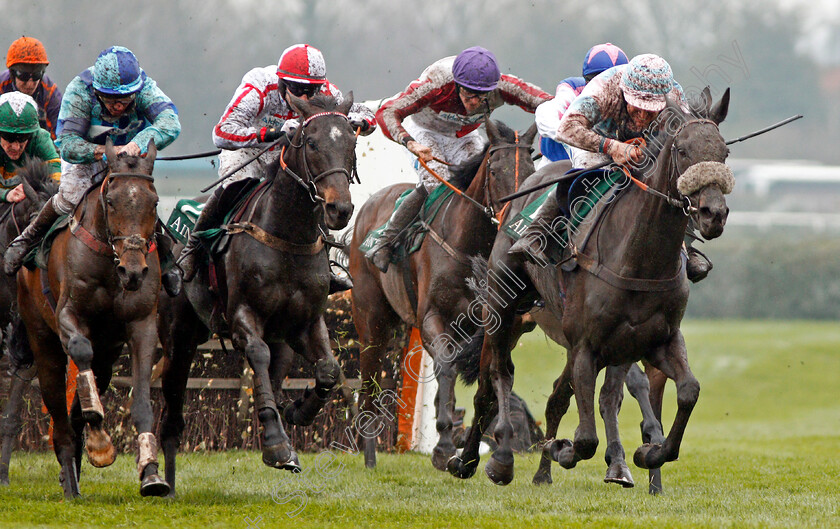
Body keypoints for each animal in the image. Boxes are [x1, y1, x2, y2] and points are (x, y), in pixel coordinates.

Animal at [16, 139, 166, 496]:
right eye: (110, 202)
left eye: (154, 202)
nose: (133, 272)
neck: (110, 266)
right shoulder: (69, 315)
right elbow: (82, 359)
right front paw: (99, 443)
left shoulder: (142, 324)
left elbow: (141, 397)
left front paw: (151, 471)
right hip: (43, 343)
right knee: (59, 412)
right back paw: (70, 479)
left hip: (108, 353)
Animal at [158, 92, 358, 496]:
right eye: (312, 143)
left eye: (352, 143)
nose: (339, 209)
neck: (287, 237)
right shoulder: (243, 318)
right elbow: (258, 357)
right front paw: (278, 446)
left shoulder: (305, 323)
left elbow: (328, 369)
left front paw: (298, 410)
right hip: (177, 338)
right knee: (170, 402)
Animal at [350, 120, 540, 470]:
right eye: (495, 170)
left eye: (532, 172)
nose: (512, 219)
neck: (469, 244)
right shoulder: (430, 318)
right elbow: (448, 366)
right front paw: (443, 446)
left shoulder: (495, 326)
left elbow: (492, 380)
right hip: (371, 320)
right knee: (369, 385)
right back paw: (369, 456)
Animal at [450, 87, 732, 486]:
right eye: (682, 150)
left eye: (724, 152)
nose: (713, 214)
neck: (639, 257)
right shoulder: (585, 345)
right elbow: (584, 439)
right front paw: (563, 449)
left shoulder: (654, 340)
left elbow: (687, 392)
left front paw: (649, 452)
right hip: (502, 309)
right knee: (497, 378)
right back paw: (490, 458)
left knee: (554, 395)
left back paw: (532, 470)